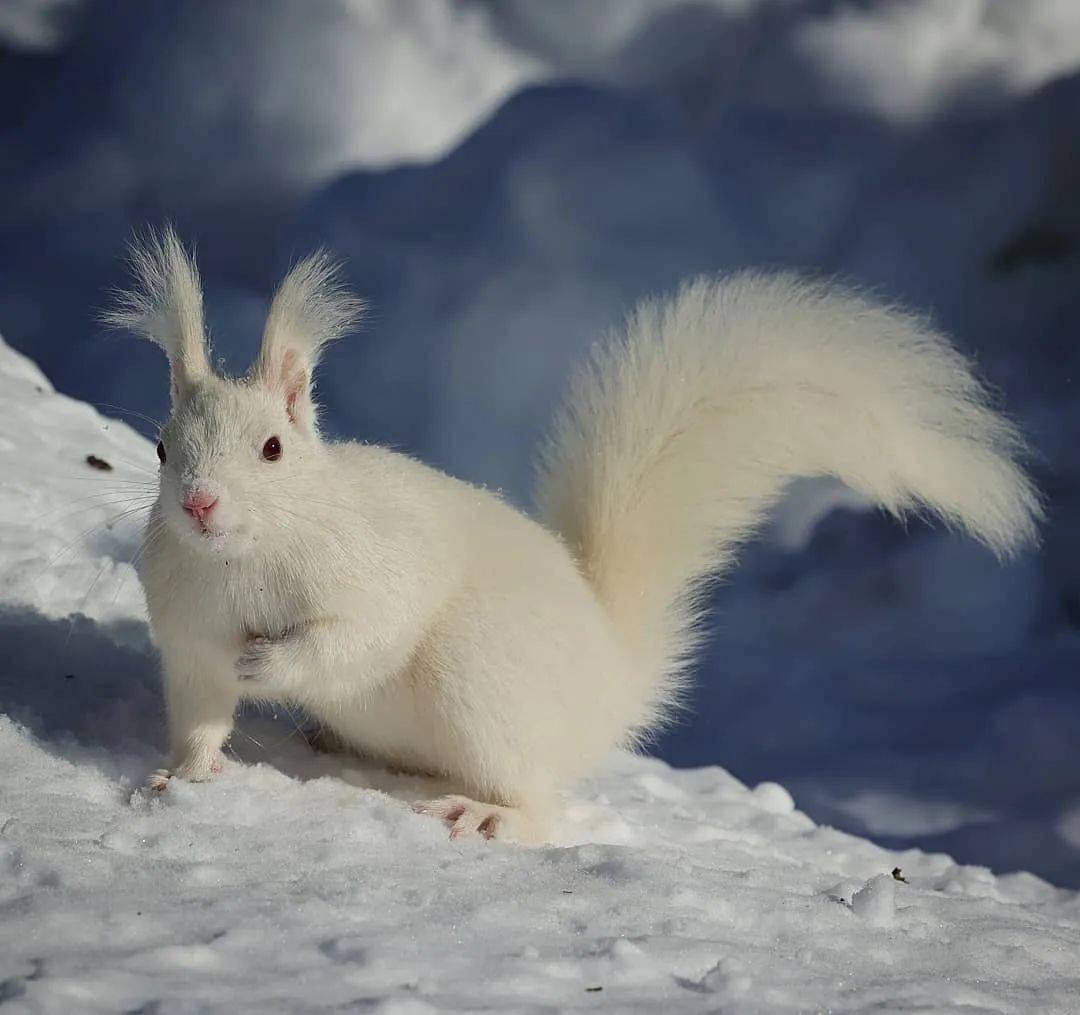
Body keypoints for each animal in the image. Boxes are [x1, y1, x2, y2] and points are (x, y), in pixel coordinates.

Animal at [107, 227, 1036, 842]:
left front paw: (269, 664)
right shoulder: (188, 627)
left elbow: (358, 638)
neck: (244, 562)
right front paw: (177, 777)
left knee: (537, 801)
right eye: (162, 447)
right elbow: (199, 706)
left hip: (479, 680)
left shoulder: (375, 571)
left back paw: (483, 810)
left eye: (273, 447)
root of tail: (612, 682)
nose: (199, 505)